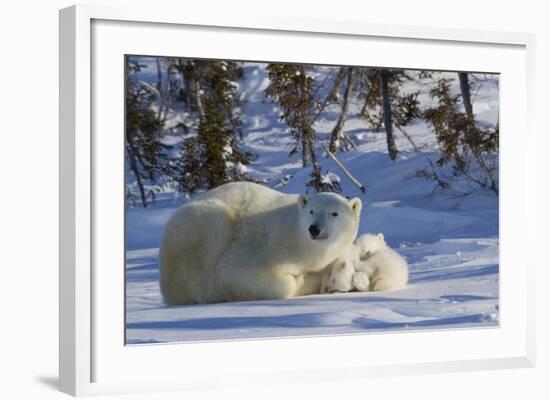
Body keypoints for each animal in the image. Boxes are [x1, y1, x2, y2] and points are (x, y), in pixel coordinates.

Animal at [160, 181, 364, 304]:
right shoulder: (268, 246)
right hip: (203, 226)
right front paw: (303, 280)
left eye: (334, 213)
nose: (314, 229)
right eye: (312, 211)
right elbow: (234, 272)